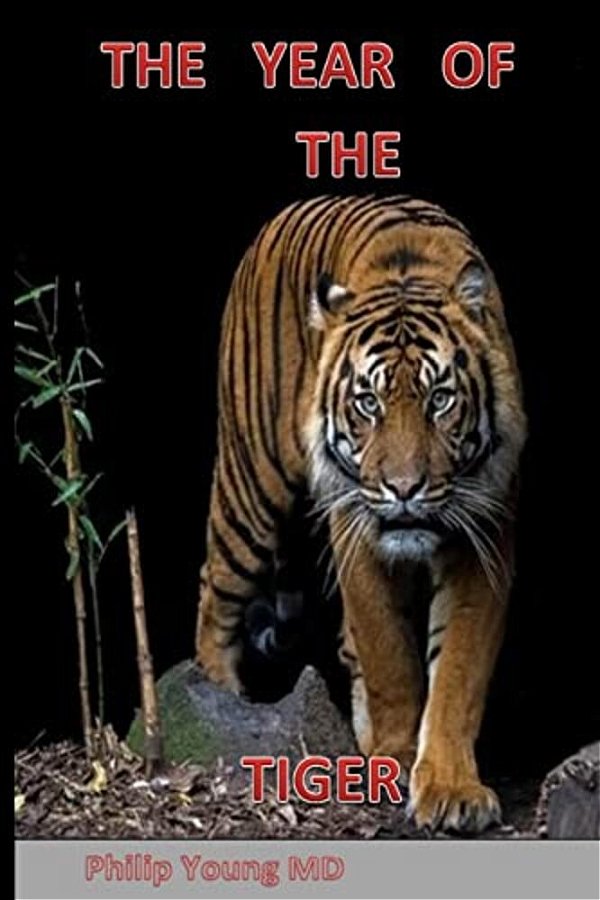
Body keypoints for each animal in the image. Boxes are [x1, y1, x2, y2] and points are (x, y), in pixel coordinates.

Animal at [196, 194, 527, 833]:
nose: (404, 488)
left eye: (439, 399)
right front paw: (394, 758)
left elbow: (457, 672)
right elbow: (388, 652)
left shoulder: (483, 533)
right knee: (214, 591)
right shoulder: (356, 528)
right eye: (368, 403)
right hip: (251, 485)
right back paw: (218, 698)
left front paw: (451, 789)